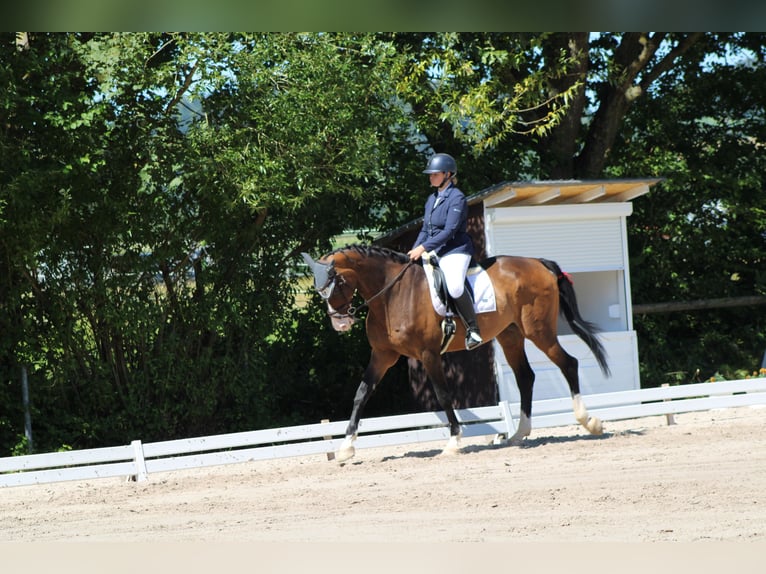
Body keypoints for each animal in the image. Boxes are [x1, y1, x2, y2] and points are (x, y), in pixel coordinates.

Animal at [301, 244, 610, 462]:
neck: (392, 294)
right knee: (526, 377)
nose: (340, 324)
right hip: (510, 335)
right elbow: (361, 394)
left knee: (568, 364)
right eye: (319, 290)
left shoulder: (428, 354)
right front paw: (345, 448)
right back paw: (518, 435)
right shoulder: (382, 355)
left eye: (338, 282)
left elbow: (443, 394)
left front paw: (452, 443)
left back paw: (590, 422)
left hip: (539, 331)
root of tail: (539, 263)